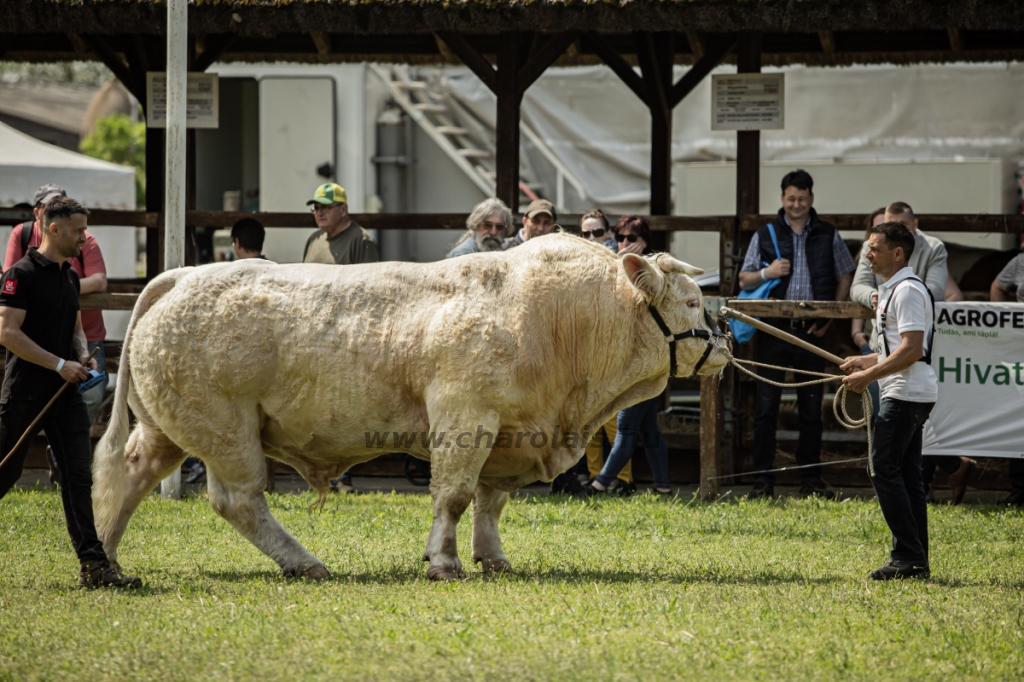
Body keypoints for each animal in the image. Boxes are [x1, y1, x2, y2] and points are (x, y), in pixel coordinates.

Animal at [90, 233, 729, 577]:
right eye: (692, 303)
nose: (724, 341)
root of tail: (181, 275)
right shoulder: (465, 417)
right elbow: (455, 495)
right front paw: (443, 562)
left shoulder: (509, 430)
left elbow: (491, 503)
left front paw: (492, 558)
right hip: (227, 428)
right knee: (237, 500)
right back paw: (304, 561)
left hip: (170, 426)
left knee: (130, 473)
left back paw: (109, 560)